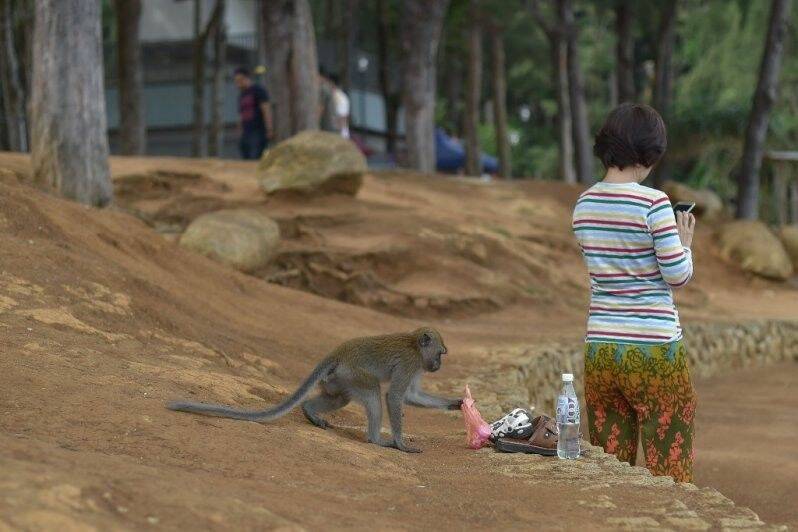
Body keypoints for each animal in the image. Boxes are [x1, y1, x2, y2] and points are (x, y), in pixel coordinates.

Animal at [169, 328, 462, 454]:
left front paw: (457, 404)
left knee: (340, 397)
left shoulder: (417, 365)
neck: (414, 344)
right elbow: (395, 397)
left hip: (340, 378)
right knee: (373, 394)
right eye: (440, 353)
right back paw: (376, 440)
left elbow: (411, 396)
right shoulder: (411, 362)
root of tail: (338, 352)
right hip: (354, 373)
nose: (437, 365)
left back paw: (310, 411)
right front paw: (401, 443)